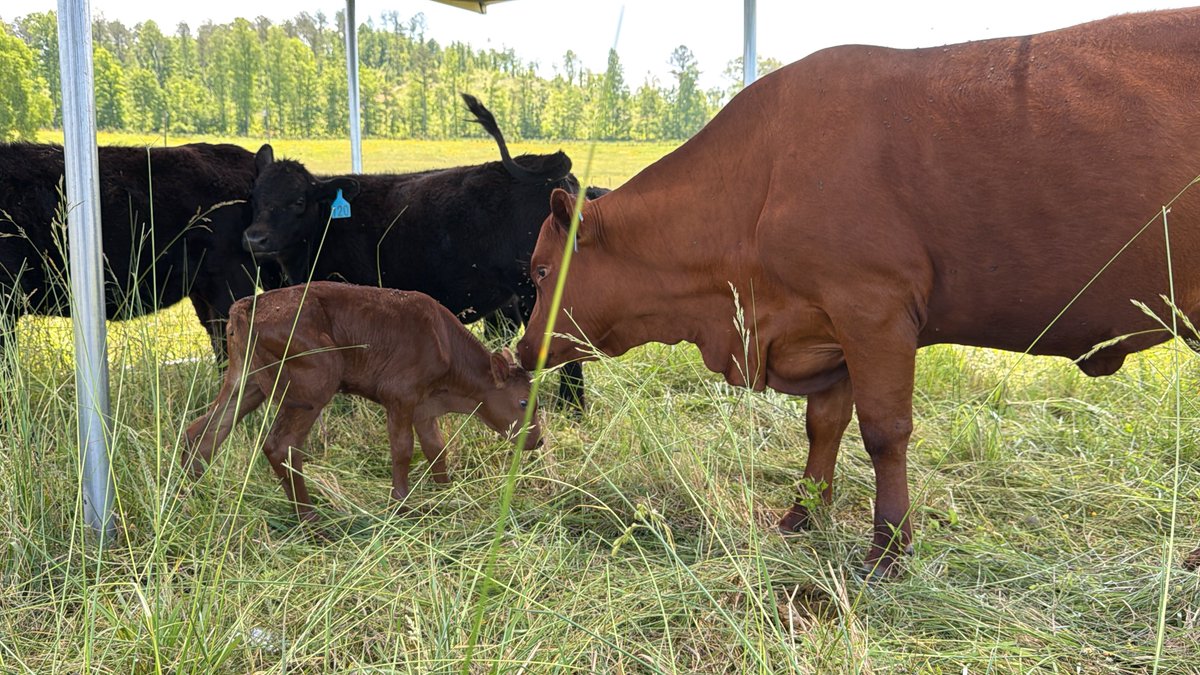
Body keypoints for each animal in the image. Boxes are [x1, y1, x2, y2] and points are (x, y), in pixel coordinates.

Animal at [182, 281, 541, 522]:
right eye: (524, 402)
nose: (538, 440)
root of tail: (247, 305)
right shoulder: (400, 395)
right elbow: (403, 450)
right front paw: (401, 506)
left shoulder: (424, 407)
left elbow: (436, 449)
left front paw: (446, 494)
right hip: (314, 381)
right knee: (280, 446)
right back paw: (311, 524)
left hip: (246, 381)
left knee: (203, 432)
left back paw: (197, 497)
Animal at [516, 8, 1200, 577]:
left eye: (541, 272)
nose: (522, 352)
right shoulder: (826, 322)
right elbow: (824, 423)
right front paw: (803, 514)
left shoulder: (873, 308)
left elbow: (883, 429)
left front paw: (889, 547)